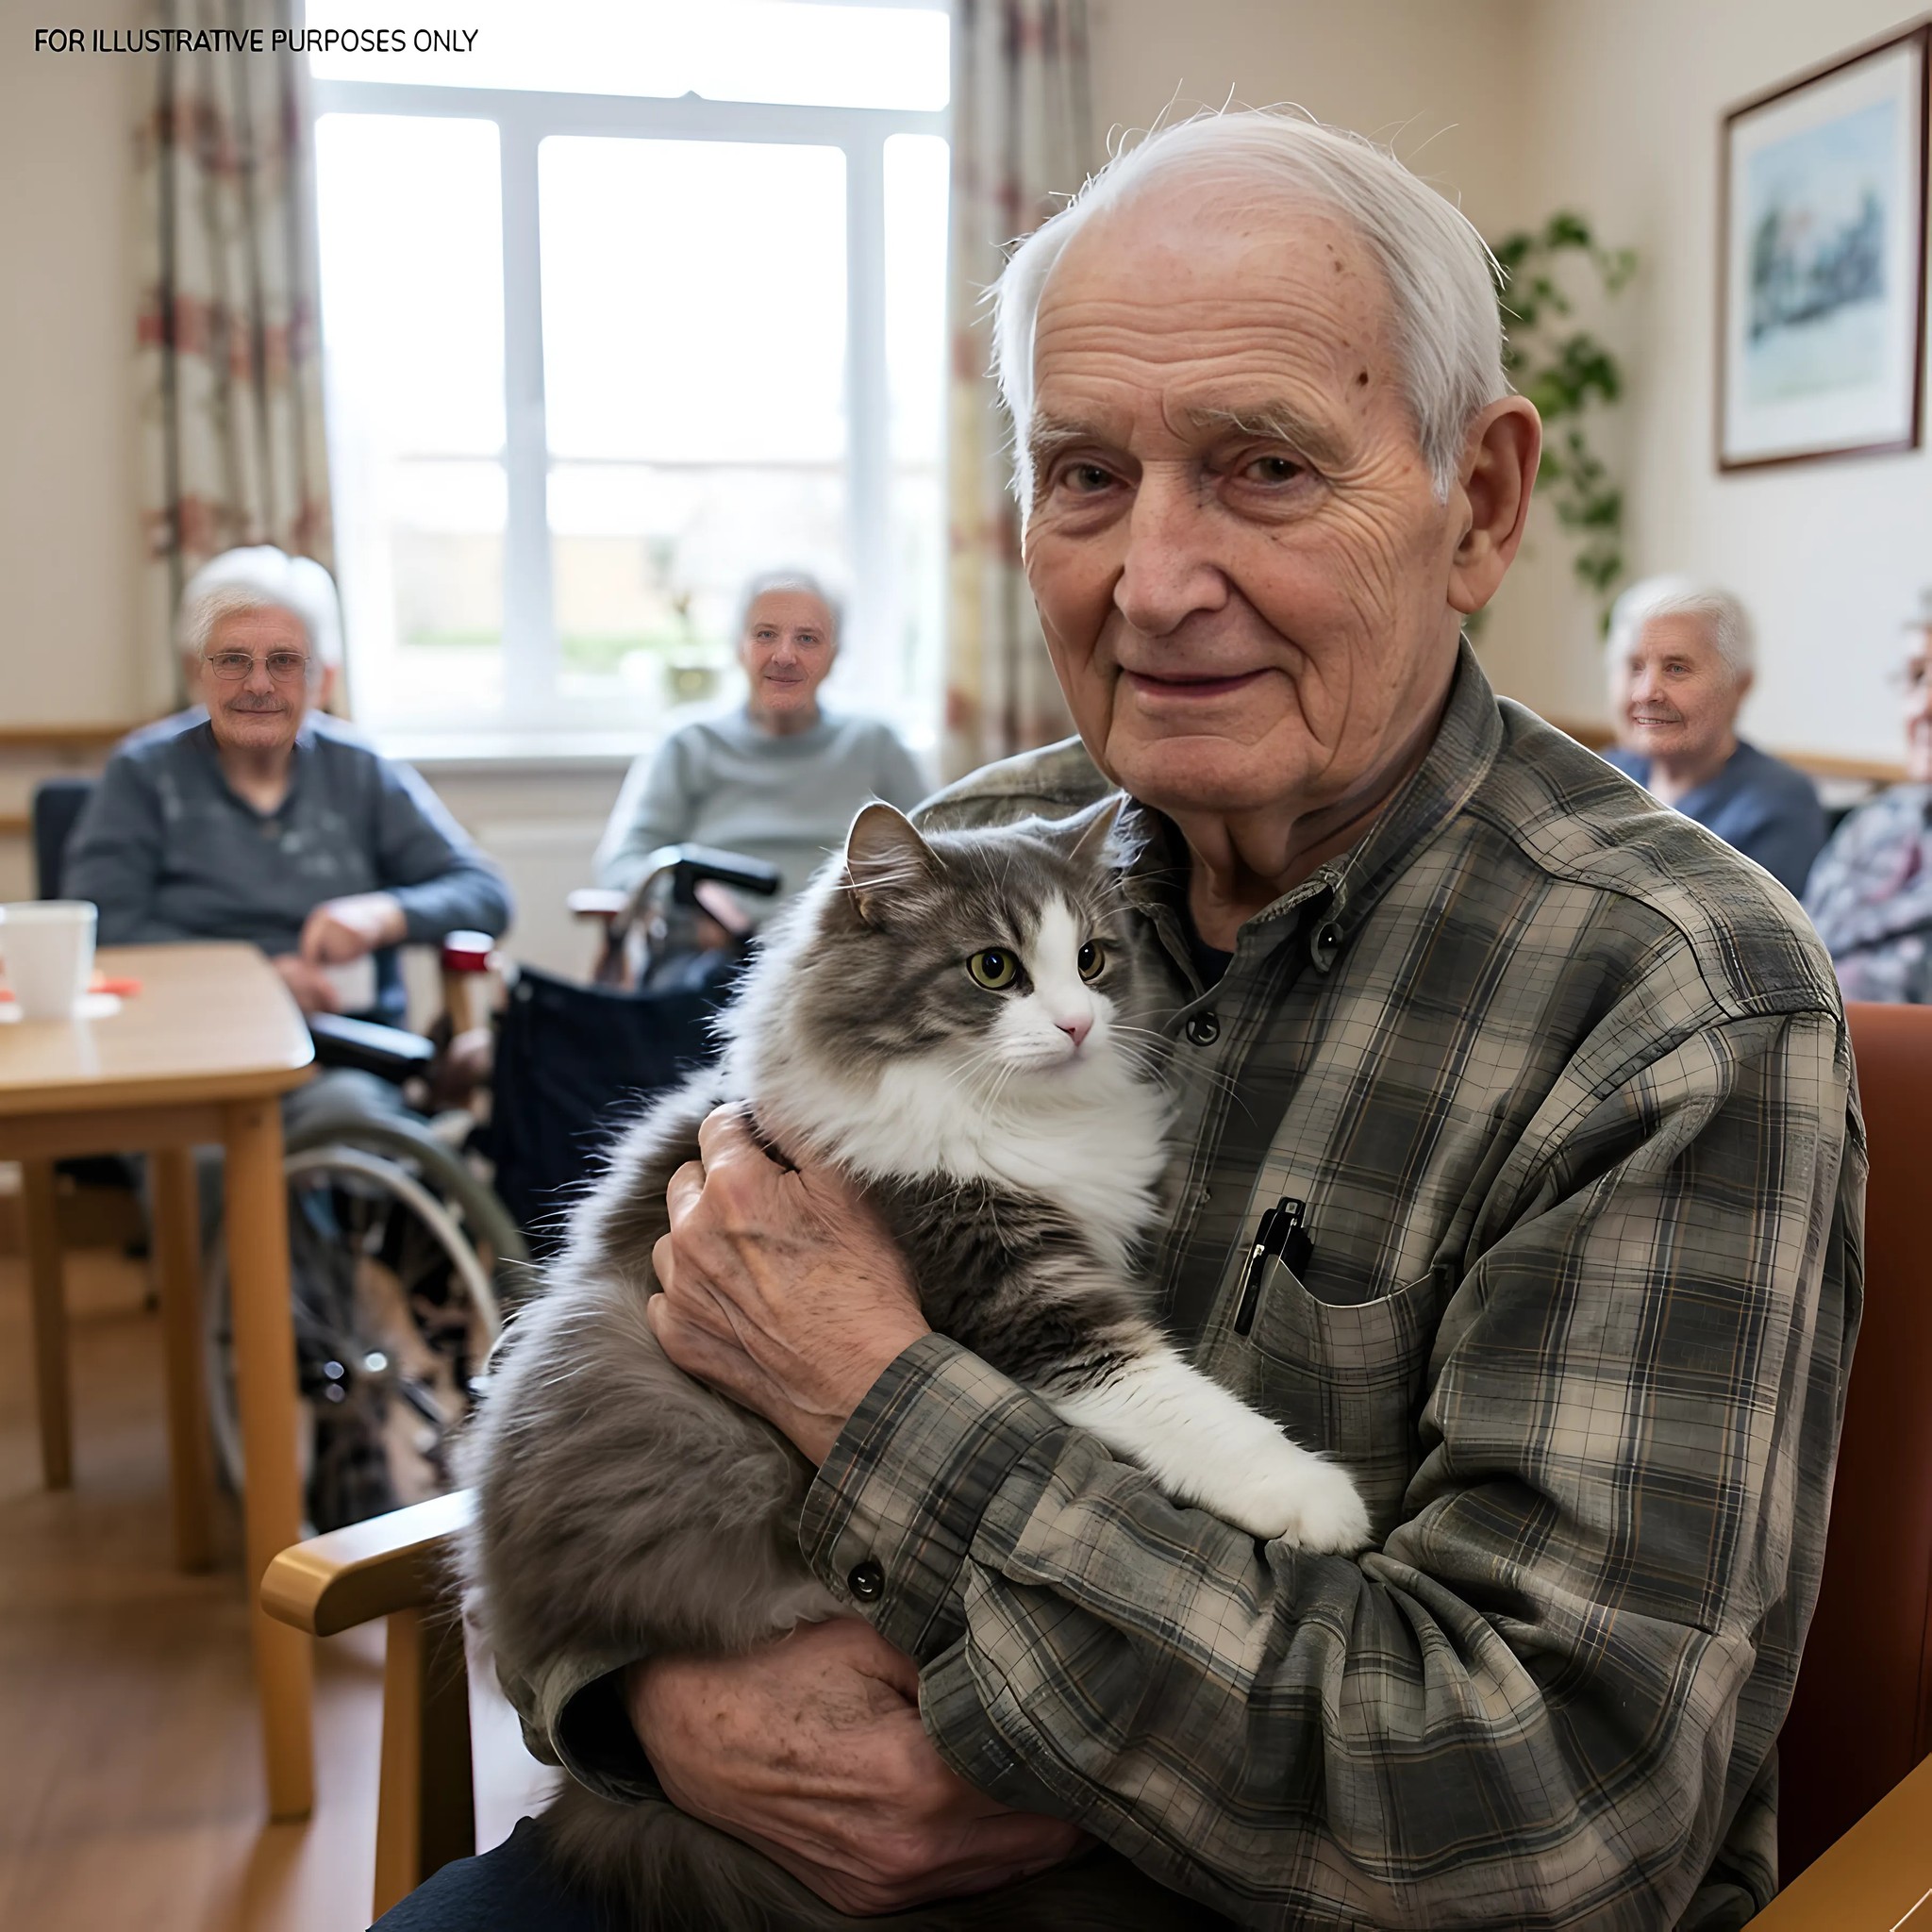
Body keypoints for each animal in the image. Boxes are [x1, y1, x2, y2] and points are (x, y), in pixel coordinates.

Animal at [461, 798, 1369, 1929]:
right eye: (992, 968)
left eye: (1091, 959)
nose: (1077, 1025)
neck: (1008, 1114)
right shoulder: (1016, 1289)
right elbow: (1170, 1398)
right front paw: (1314, 1497)